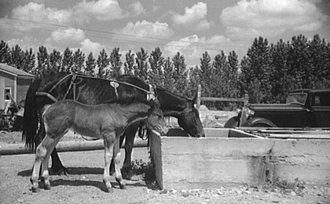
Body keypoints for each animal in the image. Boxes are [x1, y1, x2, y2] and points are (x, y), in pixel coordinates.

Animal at [22, 73, 204, 177]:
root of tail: (41, 79)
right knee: (42, 139)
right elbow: (129, 145)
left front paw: (111, 168)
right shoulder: (131, 125)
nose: (202, 134)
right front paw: (127, 170)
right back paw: (58, 168)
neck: (145, 94)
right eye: (195, 113)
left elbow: (119, 145)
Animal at [30, 99, 168, 193]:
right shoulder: (109, 135)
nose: (166, 130)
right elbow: (108, 157)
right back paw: (35, 183)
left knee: (47, 152)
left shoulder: (116, 137)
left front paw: (121, 182)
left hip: (58, 134)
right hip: (53, 133)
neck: (120, 113)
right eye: (159, 115)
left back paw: (46, 182)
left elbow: (117, 157)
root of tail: (47, 108)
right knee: (41, 150)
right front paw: (107, 184)